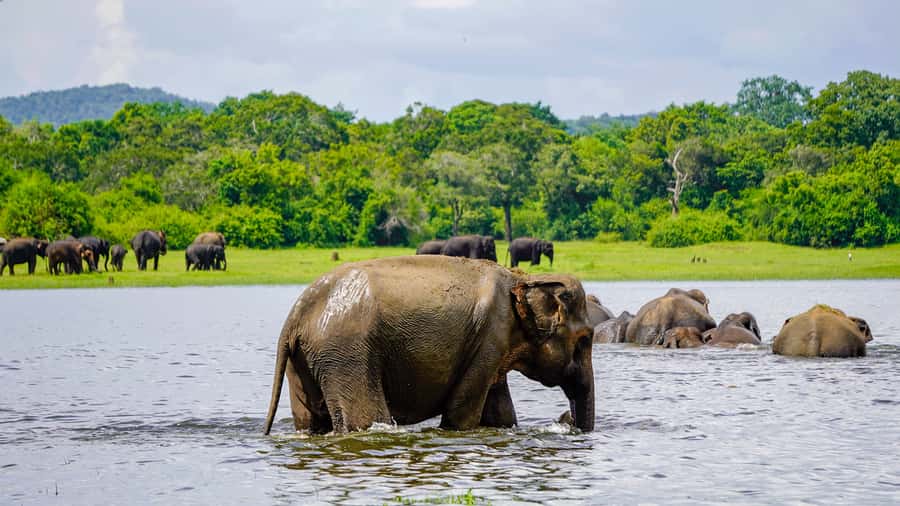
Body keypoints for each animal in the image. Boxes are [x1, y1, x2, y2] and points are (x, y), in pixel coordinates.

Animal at [263, 255, 596, 435]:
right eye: (585, 339)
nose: (566, 419)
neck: (524, 279)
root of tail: (297, 314)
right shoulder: (491, 335)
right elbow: (462, 413)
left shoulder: (492, 347)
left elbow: (500, 413)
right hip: (347, 355)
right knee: (367, 419)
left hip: (304, 360)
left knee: (309, 420)